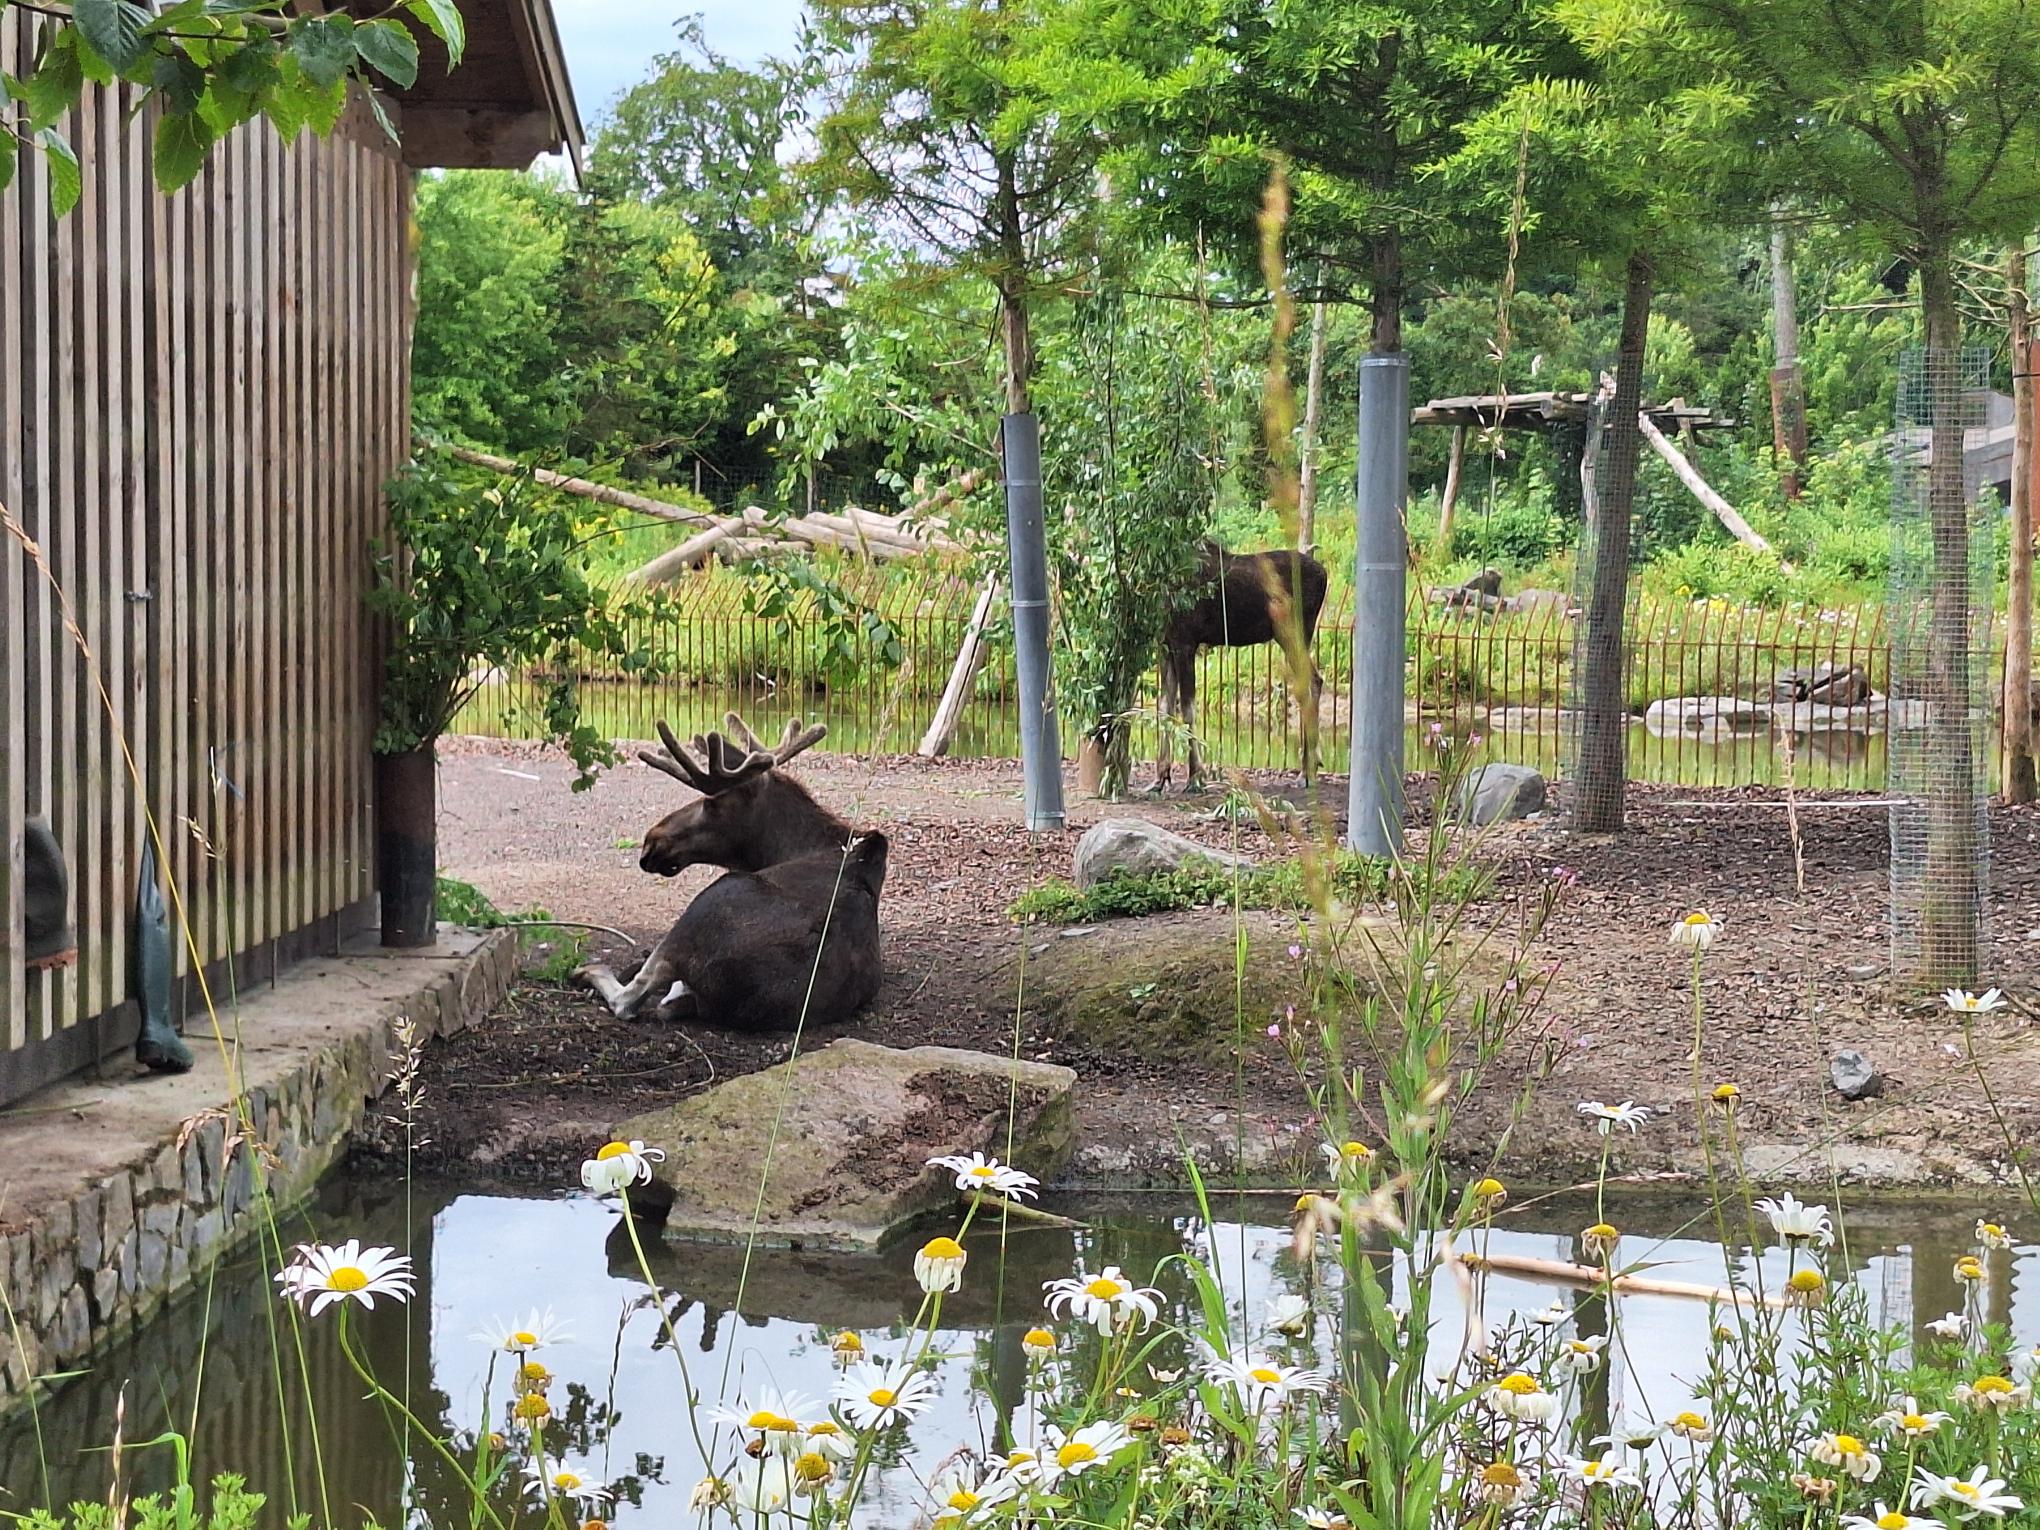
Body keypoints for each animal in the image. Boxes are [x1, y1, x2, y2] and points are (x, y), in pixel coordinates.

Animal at [576, 715, 888, 1030]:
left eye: (712, 801)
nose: (652, 842)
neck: (787, 848)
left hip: (707, 904)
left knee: (628, 998)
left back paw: (589, 969)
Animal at [1154, 540, 1329, 793]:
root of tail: (1325, 574)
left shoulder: (1185, 642)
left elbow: (1187, 709)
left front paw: (1196, 777)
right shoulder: (1166, 645)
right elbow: (1164, 708)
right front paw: (1160, 778)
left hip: (1293, 633)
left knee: (1312, 682)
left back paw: (1307, 772)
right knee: (1312, 682)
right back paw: (1311, 765)